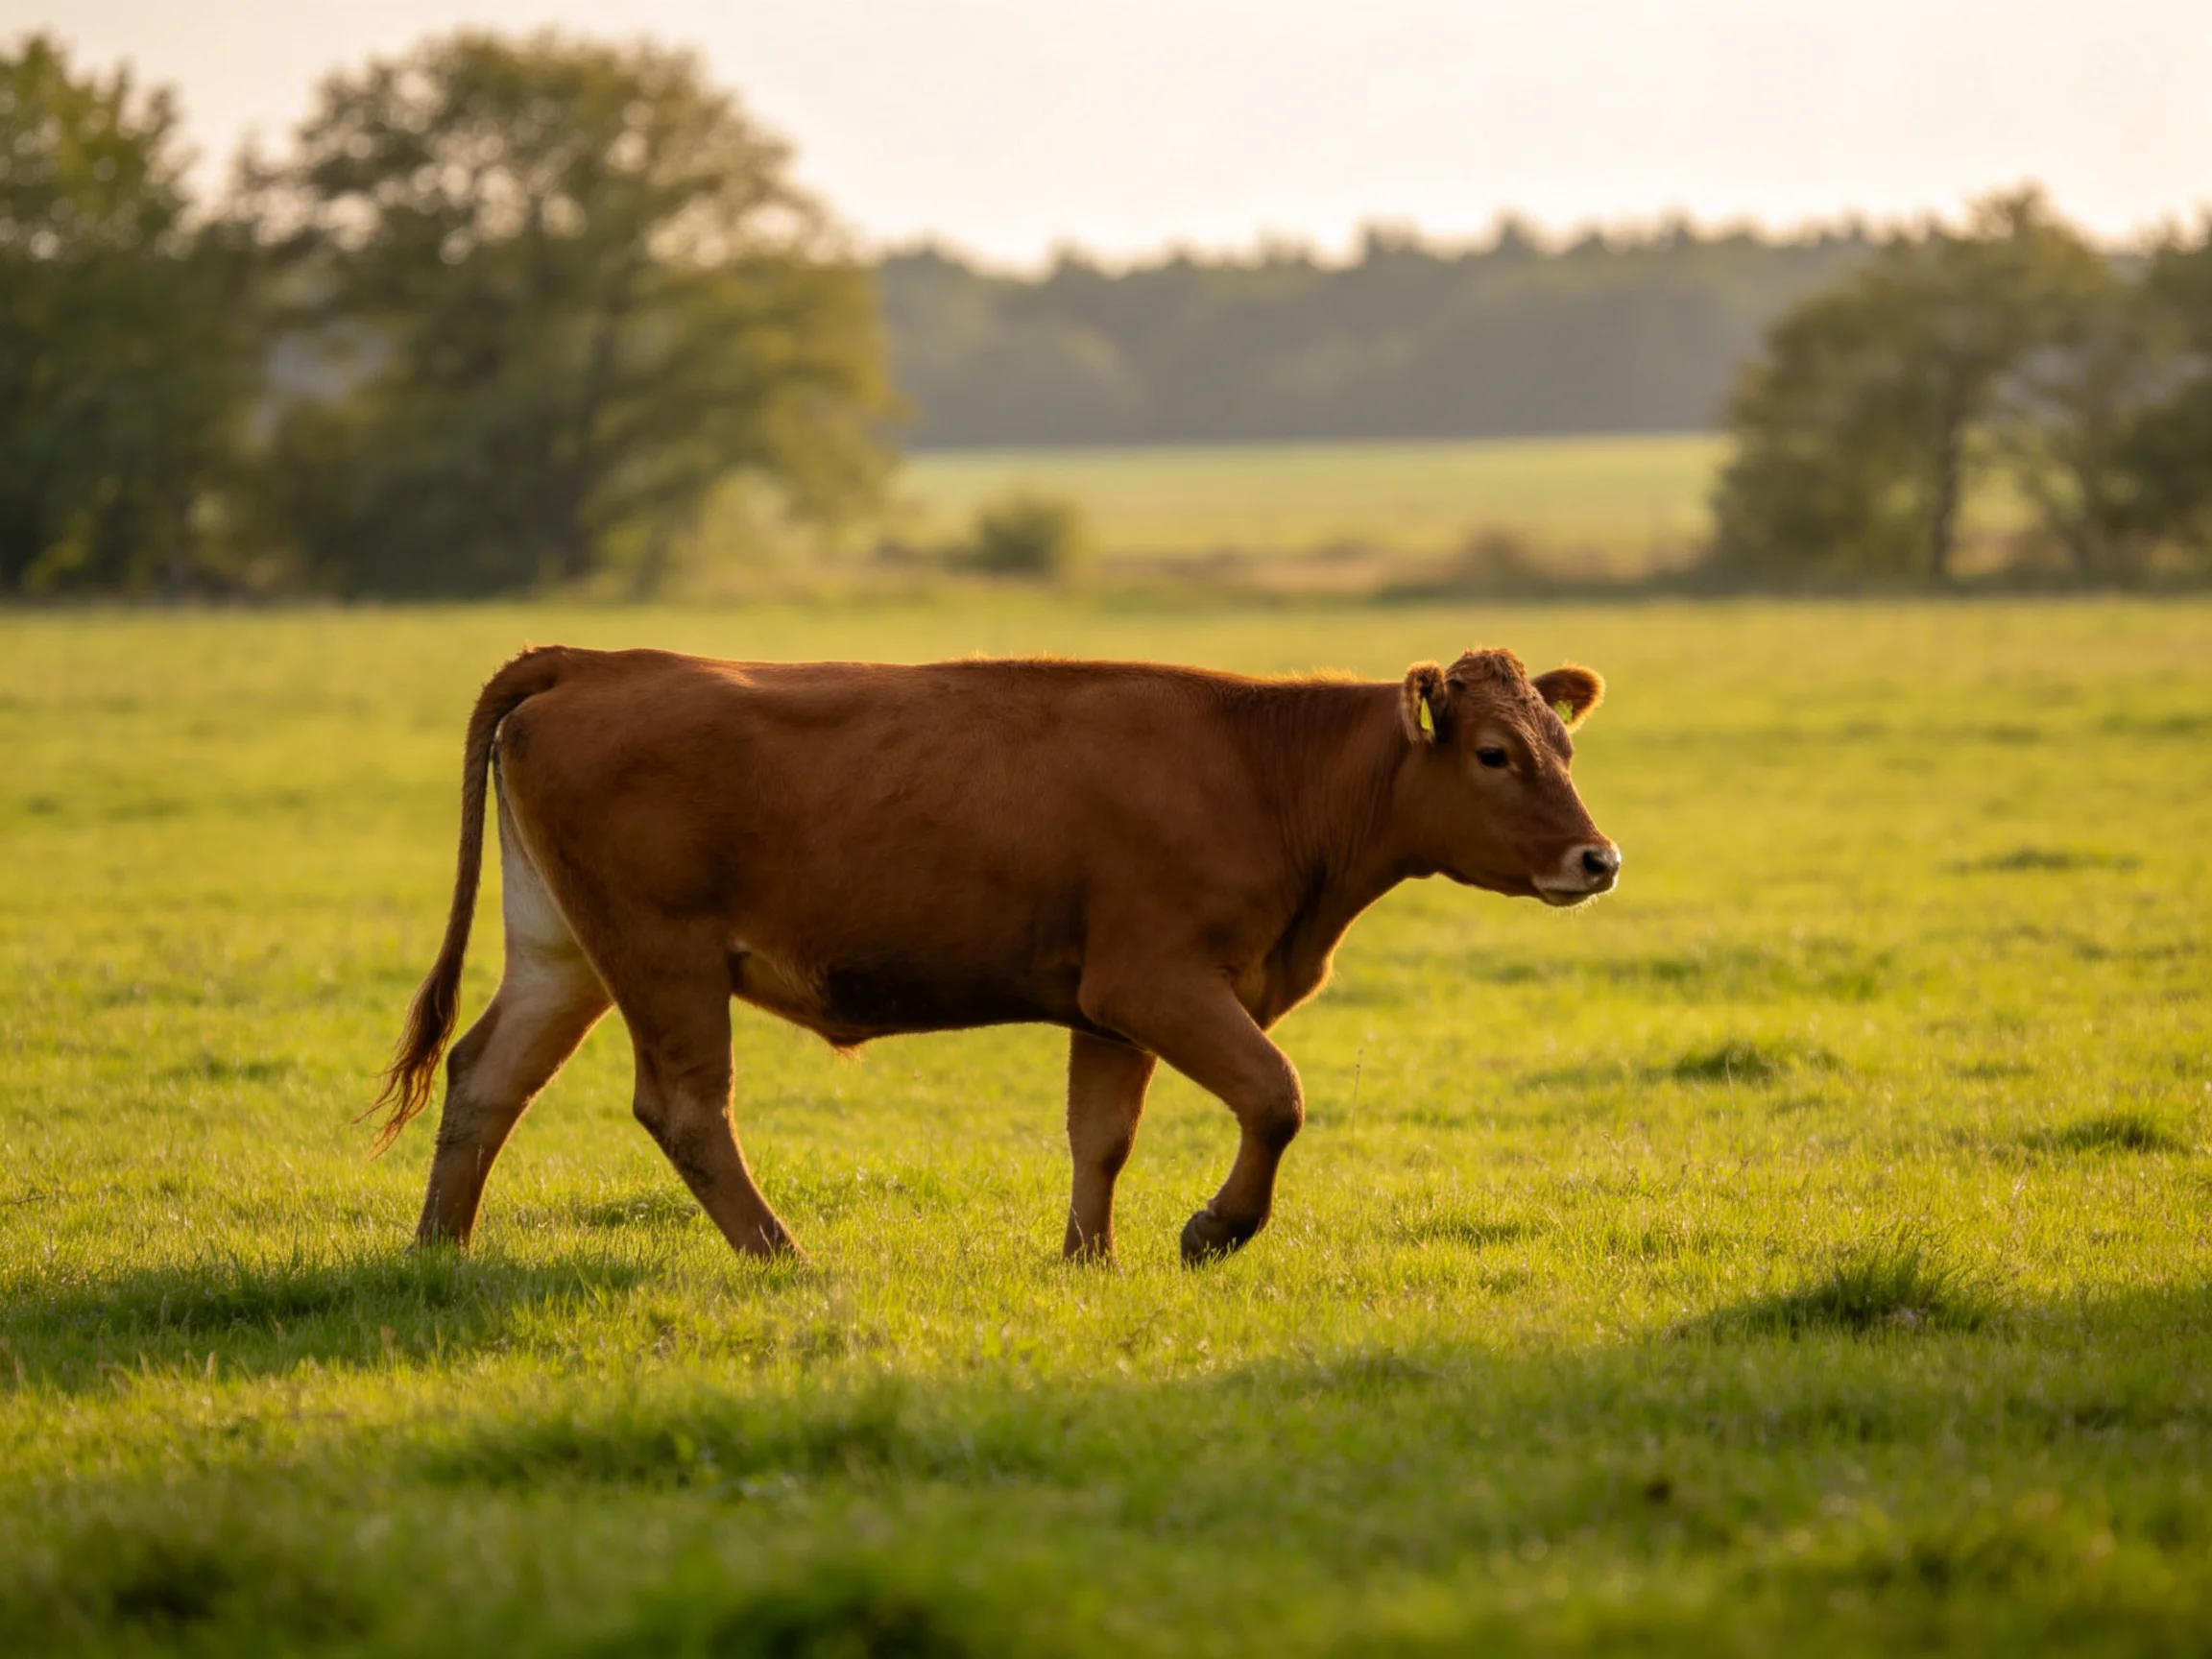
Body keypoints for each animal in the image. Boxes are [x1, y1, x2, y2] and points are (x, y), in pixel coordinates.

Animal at [373, 644, 1619, 1266]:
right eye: (1497, 753)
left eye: (1564, 746)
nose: (1599, 859)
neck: (1264, 771)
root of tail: (598, 659)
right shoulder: (1157, 979)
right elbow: (1275, 1096)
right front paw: (1214, 1231)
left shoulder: (1108, 1006)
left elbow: (1100, 1136)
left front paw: (1087, 1260)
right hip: (660, 957)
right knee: (683, 1109)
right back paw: (782, 1254)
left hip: (564, 951)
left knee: (486, 1075)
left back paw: (439, 1252)